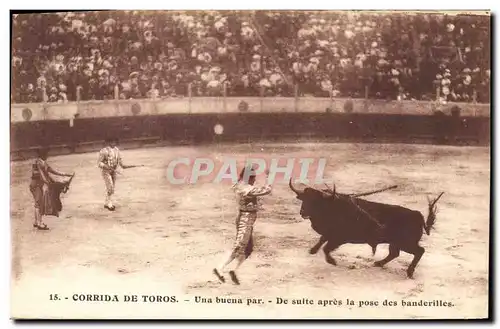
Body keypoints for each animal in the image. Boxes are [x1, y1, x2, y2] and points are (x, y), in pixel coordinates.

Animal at [290, 178, 446, 278]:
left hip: (406, 243)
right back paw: (378, 263)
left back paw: (409, 272)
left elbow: (326, 247)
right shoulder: (330, 234)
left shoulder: (339, 238)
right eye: (303, 199)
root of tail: (417, 214)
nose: (303, 212)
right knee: (394, 253)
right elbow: (322, 240)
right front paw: (312, 250)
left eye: (315, 201)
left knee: (419, 251)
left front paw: (332, 261)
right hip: (395, 243)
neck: (332, 205)